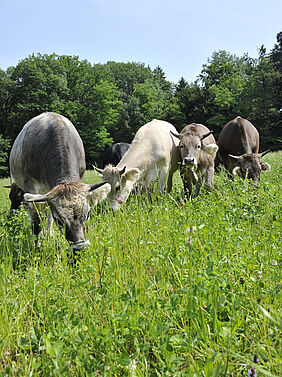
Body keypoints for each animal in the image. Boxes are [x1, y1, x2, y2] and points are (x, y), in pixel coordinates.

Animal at [9, 112, 107, 253]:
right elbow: (36, 222)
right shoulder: (30, 188)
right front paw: (37, 247)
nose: (80, 249)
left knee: (48, 213)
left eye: (87, 214)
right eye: (60, 221)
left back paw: (49, 233)